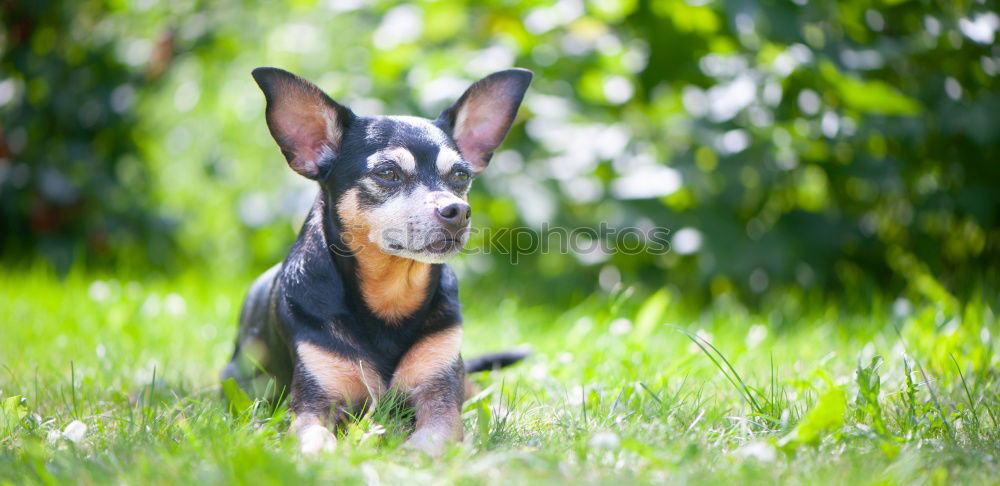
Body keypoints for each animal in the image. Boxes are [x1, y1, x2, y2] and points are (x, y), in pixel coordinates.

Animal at [219, 65, 532, 456]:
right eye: (387, 173)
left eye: (460, 176)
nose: (458, 210)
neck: (391, 296)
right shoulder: (312, 406)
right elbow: (315, 441)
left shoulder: (440, 395)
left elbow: (432, 437)